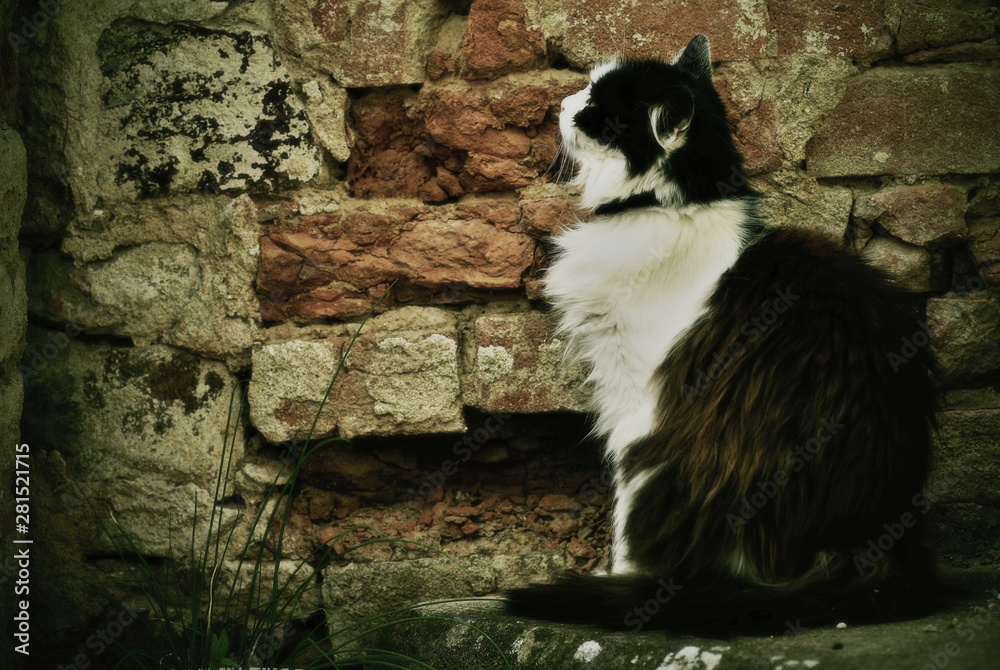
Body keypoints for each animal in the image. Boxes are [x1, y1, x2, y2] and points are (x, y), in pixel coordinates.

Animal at [508, 35, 944, 636]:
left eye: (597, 107)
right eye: (585, 91)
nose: (564, 102)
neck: (677, 206)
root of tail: (870, 539)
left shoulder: (638, 401)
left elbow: (621, 500)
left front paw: (619, 576)